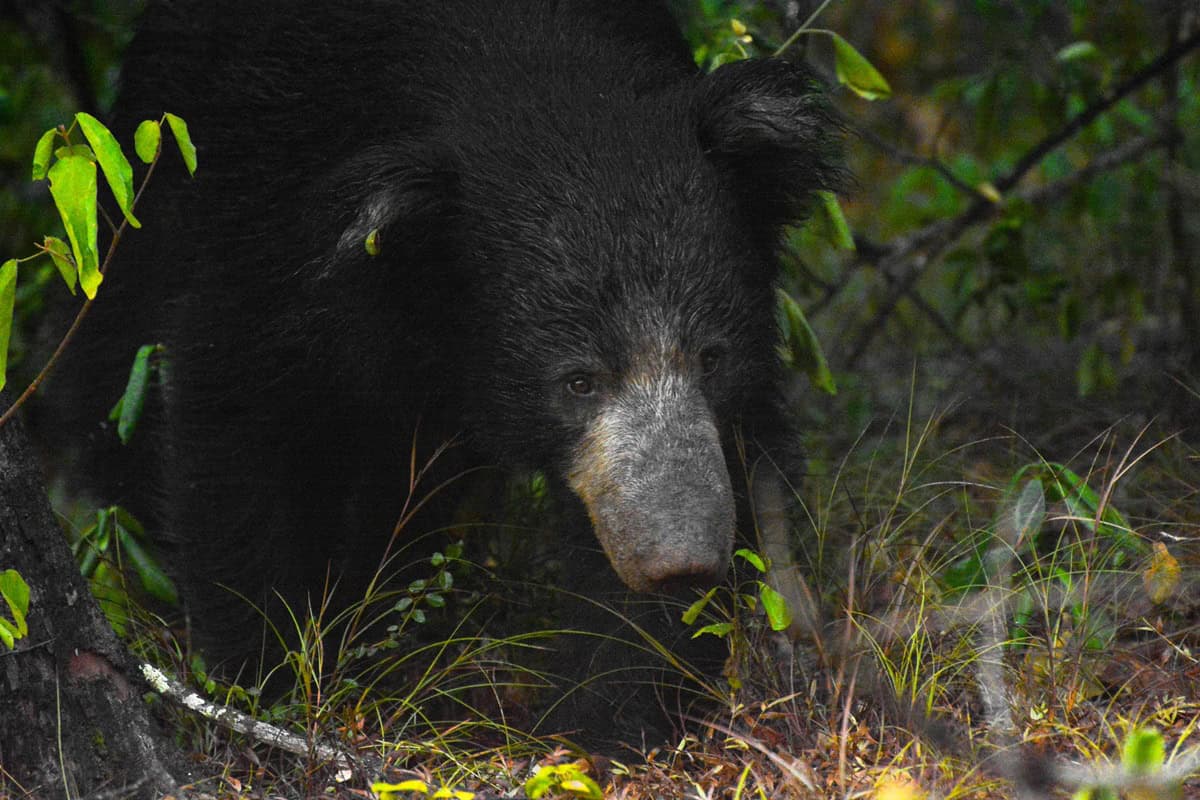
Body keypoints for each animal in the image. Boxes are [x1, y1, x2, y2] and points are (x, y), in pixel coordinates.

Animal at [45, 0, 843, 737]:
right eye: (577, 380)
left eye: (711, 357)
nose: (679, 559)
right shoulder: (268, 220)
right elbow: (238, 424)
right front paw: (267, 680)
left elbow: (739, 468)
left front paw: (604, 718)